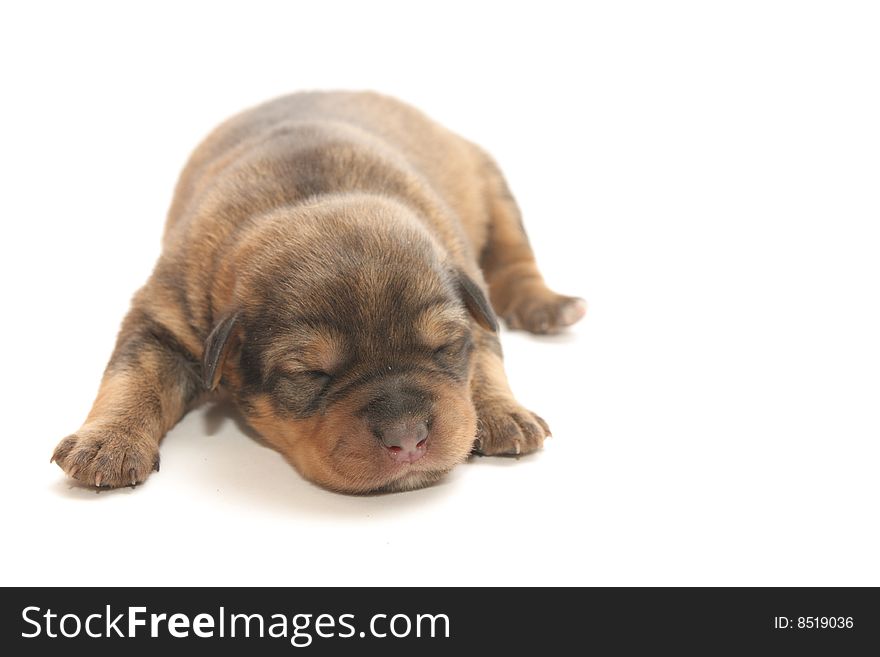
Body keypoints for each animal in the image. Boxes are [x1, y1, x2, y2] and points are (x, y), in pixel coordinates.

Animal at [49, 91, 584, 492]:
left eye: (444, 347)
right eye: (311, 373)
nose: (408, 439)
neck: (308, 194)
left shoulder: (473, 300)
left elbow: (487, 360)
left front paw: (502, 412)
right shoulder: (163, 319)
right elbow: (130, 377)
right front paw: (108, 441)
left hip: (492, 183)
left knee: (516, 256)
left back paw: (548, 306)